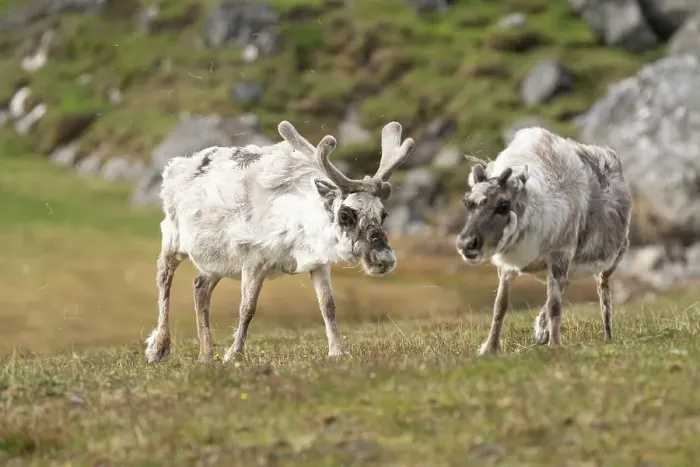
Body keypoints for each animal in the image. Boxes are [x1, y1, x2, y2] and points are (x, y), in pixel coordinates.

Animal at [145, 120, 415, 364]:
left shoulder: (319, 262)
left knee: (199, 286)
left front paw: (338, 351)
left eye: (383, 214)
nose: (384, 259)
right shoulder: (253, 259)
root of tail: (176, 165)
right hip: (172, 236)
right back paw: (159, 347)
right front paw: (234, 354)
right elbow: (247, 308)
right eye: (345, 214)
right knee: (164, 276)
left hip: (216, 261)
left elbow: (328, 305)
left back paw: (206, 356)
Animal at [455, 127, 631, 355]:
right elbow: (500, 306)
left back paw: (607, 334)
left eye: (504, 204)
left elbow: (555, 306)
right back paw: (541, 330)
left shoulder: (560, 255)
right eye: (467, 202)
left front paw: (554, 343)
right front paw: (490, 348)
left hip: (613, 259)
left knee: (603, 293)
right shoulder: (508, 265)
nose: (466, 243)